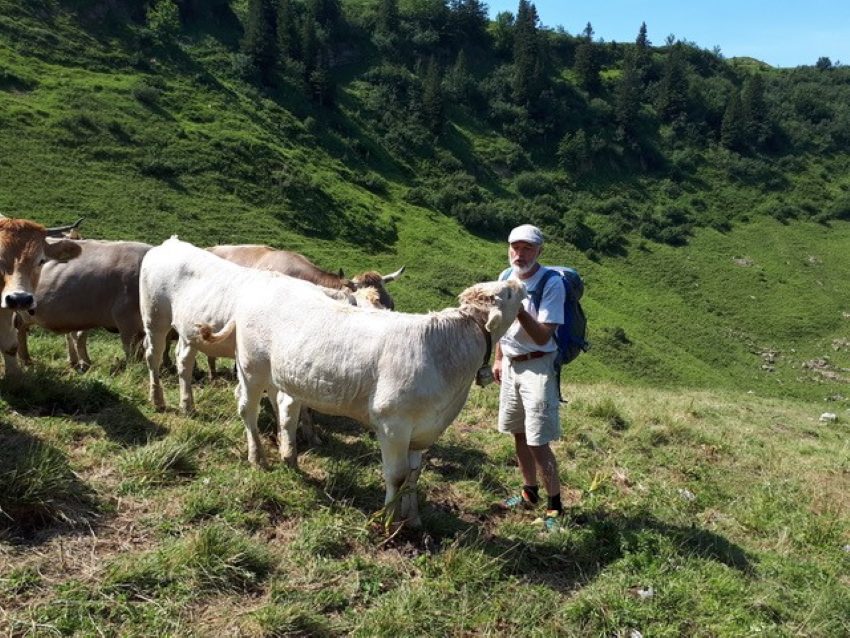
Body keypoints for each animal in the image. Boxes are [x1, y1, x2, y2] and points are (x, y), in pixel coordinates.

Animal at [199, 266, 526, 527]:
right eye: (507, 292)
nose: (521, 283)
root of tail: (268, 280)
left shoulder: (424, 429)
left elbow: (414, 475)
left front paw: (413, 519)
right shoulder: (393, 424)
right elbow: (397, 476)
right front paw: (388, 521)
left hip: (289, 375)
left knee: (286, 410)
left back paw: (289, 458)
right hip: (251, 367)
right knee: (247, 409)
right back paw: (258, 457)